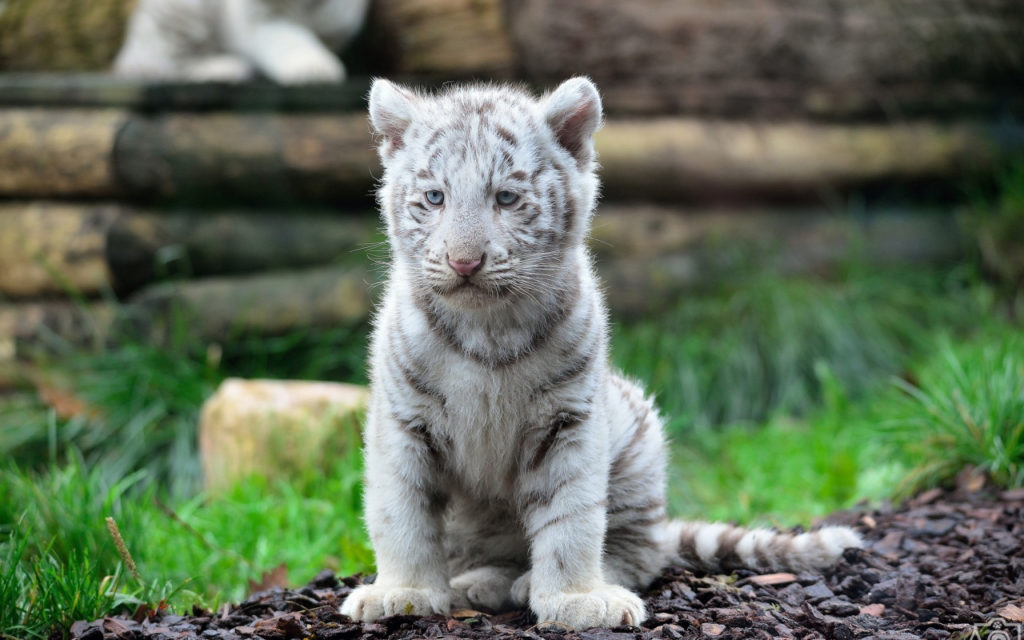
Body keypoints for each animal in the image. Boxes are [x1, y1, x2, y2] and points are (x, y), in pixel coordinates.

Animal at [339, 76, 860, 630]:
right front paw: (404, 591)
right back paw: (478, 583)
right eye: (435, 198)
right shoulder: (402, 422)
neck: (488, 328)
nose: (464, 262)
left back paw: (542, 583)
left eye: (507, 198)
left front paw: (577, 599)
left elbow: (572, 517)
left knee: (641, 553)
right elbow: (402, 512)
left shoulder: (569, 418)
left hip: (639, 442)